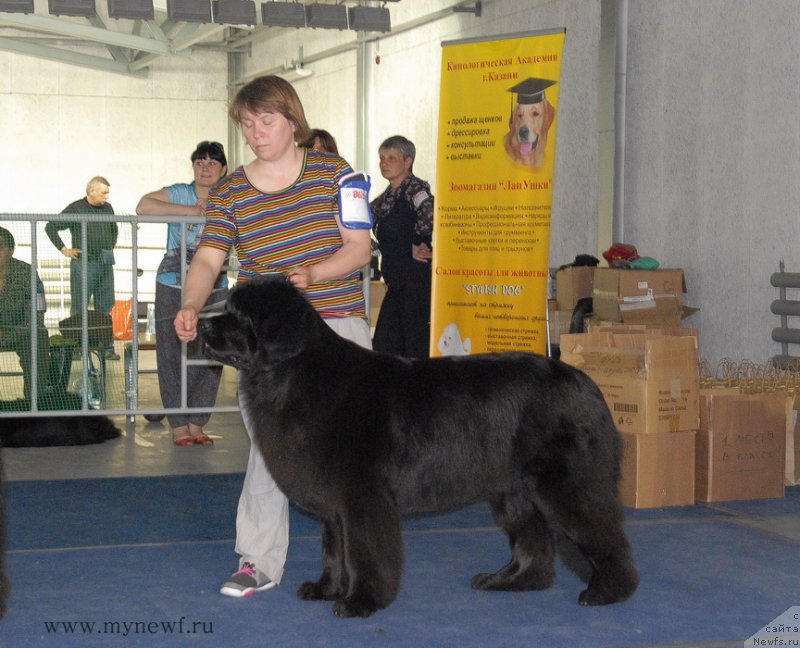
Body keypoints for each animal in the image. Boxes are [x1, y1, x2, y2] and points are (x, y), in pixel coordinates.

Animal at [200, 274, 636, 616]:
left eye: (238, 316)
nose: (202, 327)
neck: (293, 375)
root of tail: (586, 383)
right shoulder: (336, 502)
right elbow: (333, 549)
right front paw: (326, 590)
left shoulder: (363, 497)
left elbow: (362, 551)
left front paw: (360, 601)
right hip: (514, 491)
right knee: (533, 544)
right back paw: (507, 581)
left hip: (565, 485)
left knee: (602, 532)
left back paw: (606, 591)